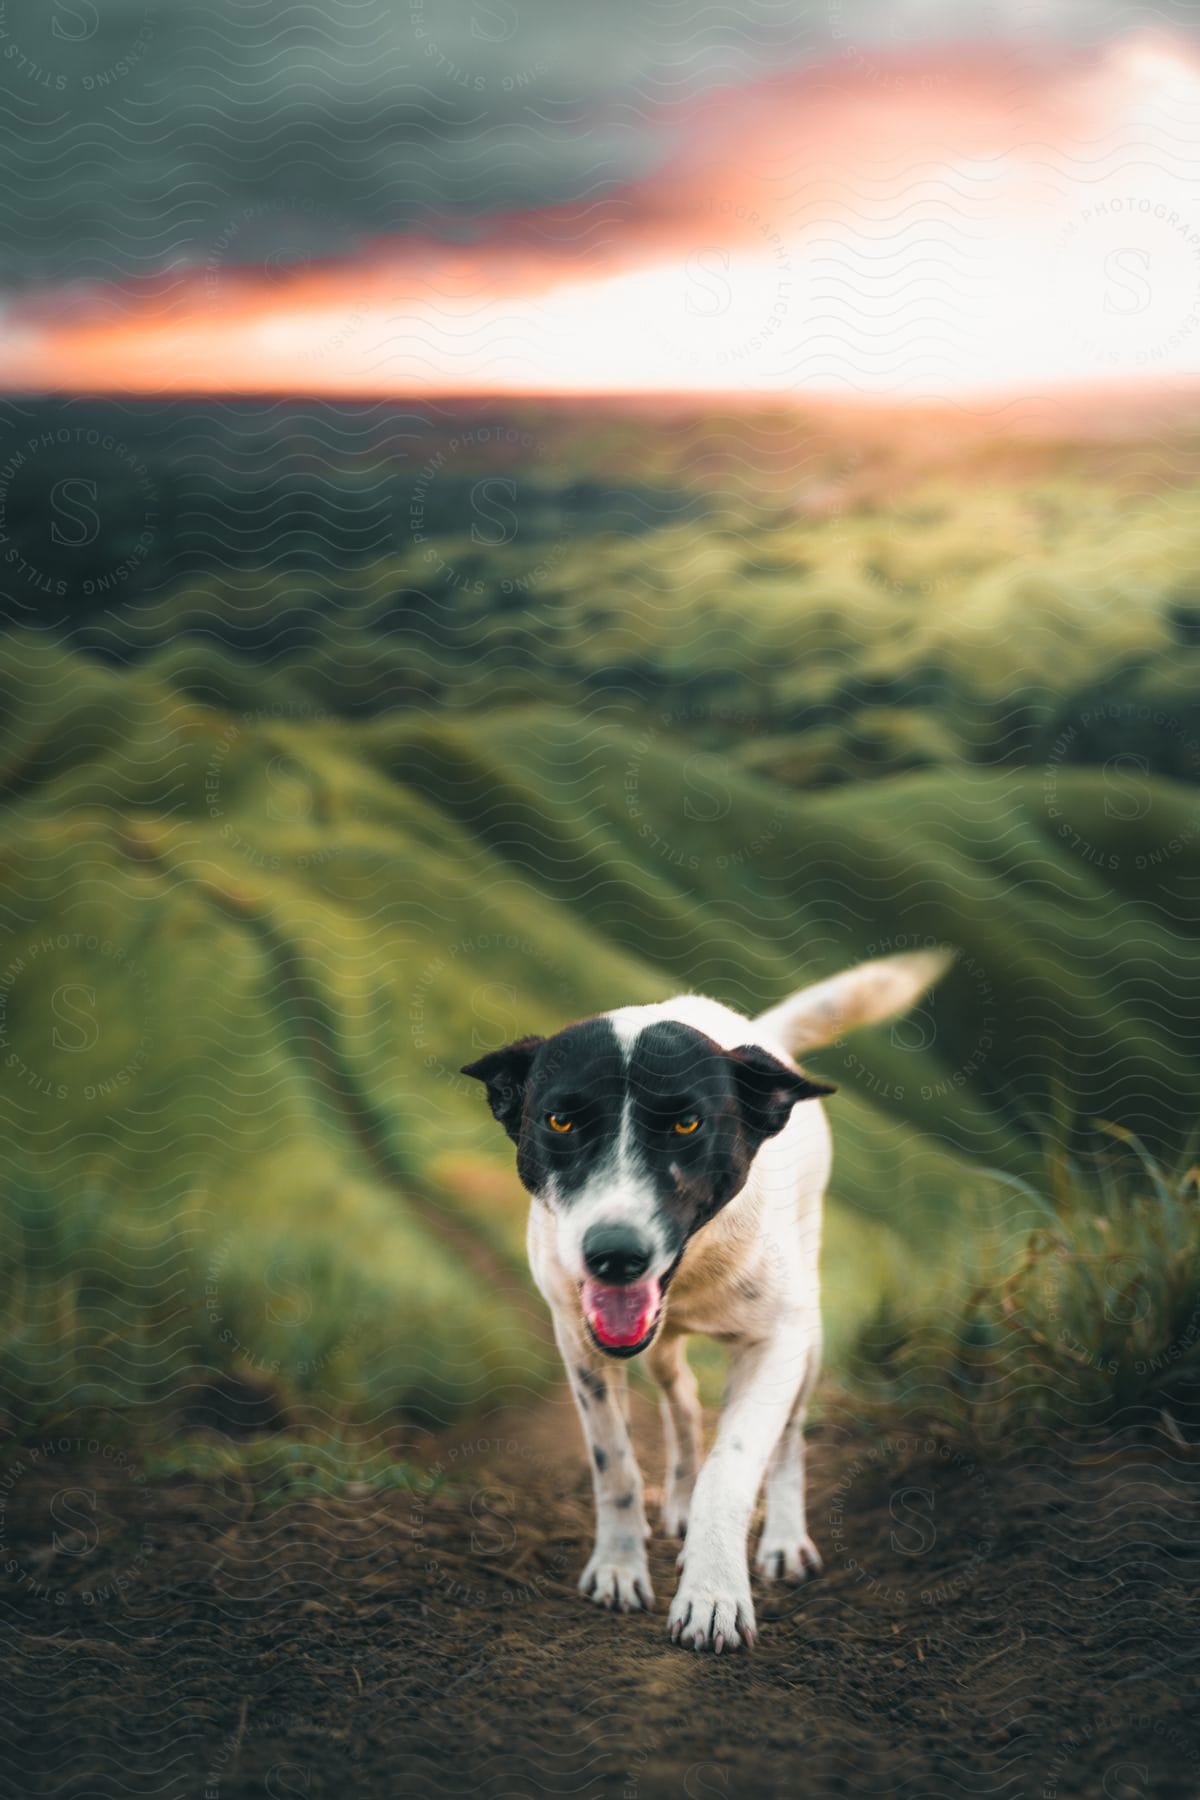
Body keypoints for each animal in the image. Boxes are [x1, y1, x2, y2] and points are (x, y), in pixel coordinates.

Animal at [464, 950, 949, 1648]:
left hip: (808, 1337)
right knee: (685, 1401)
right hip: (663, 1352)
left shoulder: (775, 1344)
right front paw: (619, 1566)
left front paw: (714, 1592)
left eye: (687, 1122)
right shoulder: (579, 1340)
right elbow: (614, 1463)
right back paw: (678, 1499)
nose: (615, 1254)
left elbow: (735, 1466)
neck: (693, 1270)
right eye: (559, 1120)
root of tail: (757, 1041)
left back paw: (783, 1539)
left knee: (789, 1439)